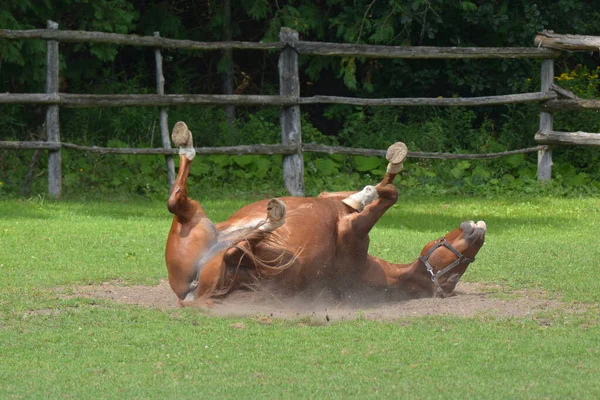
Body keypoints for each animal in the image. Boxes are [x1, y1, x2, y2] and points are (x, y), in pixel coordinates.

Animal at [166, 122, 486, 306]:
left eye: (454, 277)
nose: (479, 232)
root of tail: (190, 292)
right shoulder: (337, 209)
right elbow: (377, 191)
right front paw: (376, 181)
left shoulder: (352, 233)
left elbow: (388, 195)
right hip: (197, 223)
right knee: (177, 202)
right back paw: (185, 140)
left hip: (272, 261)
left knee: (233, 246)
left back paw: (274, 217)